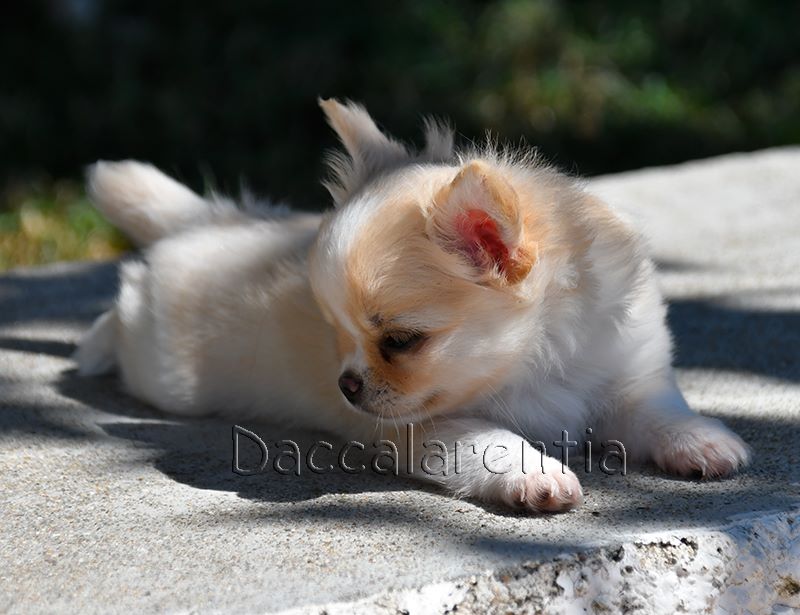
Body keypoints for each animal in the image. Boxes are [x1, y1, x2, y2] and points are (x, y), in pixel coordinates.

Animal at [74, 99, 750, 512]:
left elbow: (658, 410)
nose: (345, 384)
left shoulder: (627, 374)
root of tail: (212, 222)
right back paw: (92, 343)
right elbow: (491, 440)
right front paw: (534, 474)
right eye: (334, 333)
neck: (539, 358)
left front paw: (700, 441)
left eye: (400, 340)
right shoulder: (429, 428)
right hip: (164, 371)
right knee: (122, 314)